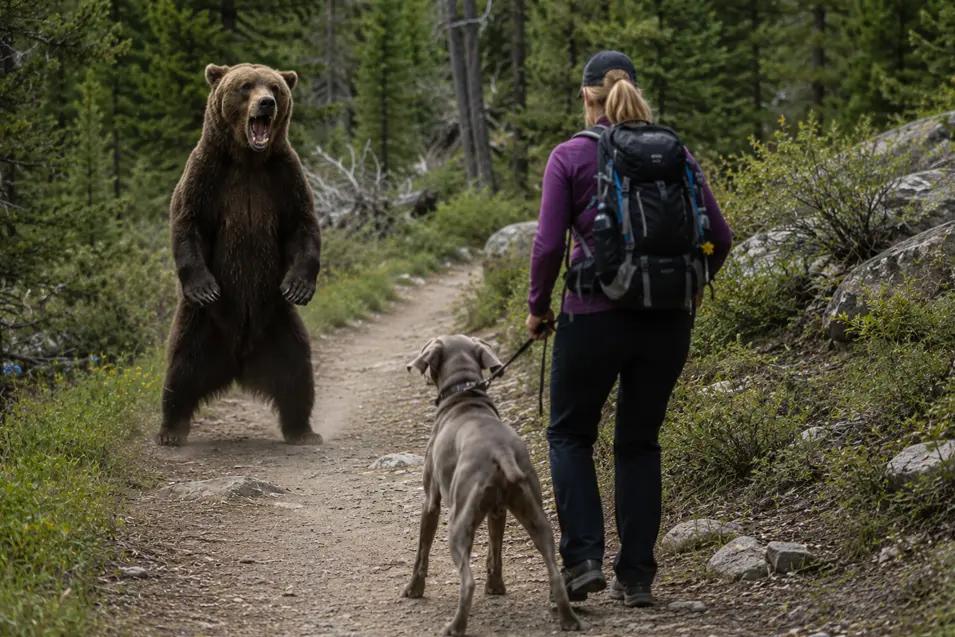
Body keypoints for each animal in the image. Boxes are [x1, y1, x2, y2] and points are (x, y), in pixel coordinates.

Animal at [157, 63, 322, 447]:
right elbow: (188, 224)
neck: (248, 160)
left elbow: (303, 227)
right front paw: (204, 286)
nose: (265, 104)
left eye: (275, 88)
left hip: (279, 323)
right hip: (201, 325)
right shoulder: (207, 176)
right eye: (246, 85)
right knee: (180, 371)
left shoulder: (284, 178)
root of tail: (240, 361)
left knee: (298, 373)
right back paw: (171, 430)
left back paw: (302, 430)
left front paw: (299, 286)